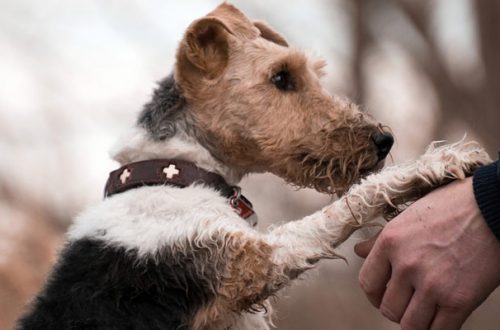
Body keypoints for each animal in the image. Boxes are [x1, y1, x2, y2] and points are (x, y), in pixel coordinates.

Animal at [16, 3, 492, 330]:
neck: (176, 172)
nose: (383, 140)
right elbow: (345, 206)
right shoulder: (255, 260)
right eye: (281, 77)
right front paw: (442, 161)